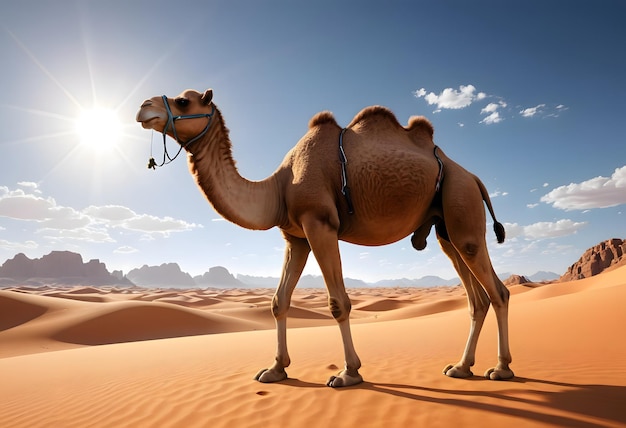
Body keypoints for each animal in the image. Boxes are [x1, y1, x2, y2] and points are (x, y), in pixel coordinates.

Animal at [135, 89, 512, 388]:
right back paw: (461, 368)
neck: (278, 186)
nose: (143, 107)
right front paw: (275, 370)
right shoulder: (295, 237)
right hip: (445, 226)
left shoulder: (320, 224)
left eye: (184, 101)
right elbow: (278, 301)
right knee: (476, 298)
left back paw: (501, 368)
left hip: (461, 202)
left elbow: (338, 303)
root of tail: (474, 176)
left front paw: (349, 373)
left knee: (497, 291)